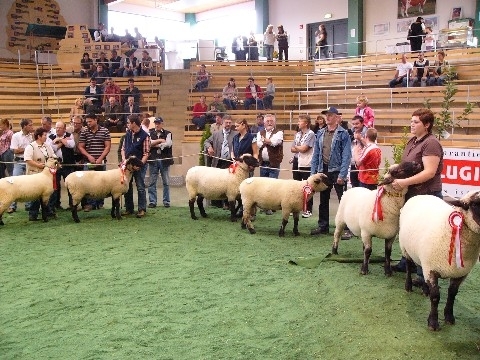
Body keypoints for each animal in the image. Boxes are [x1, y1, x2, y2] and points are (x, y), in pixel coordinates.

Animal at [400, 191, 480, 332]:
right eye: (475, 204)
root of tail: (421, 195)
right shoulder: (432, 269)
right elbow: (435, 296)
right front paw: (433, 322)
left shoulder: (461, 273)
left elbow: (452, 293)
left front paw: (449, 317)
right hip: (405, 249)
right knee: (409, 267)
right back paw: (408, 286)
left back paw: (425, 290)